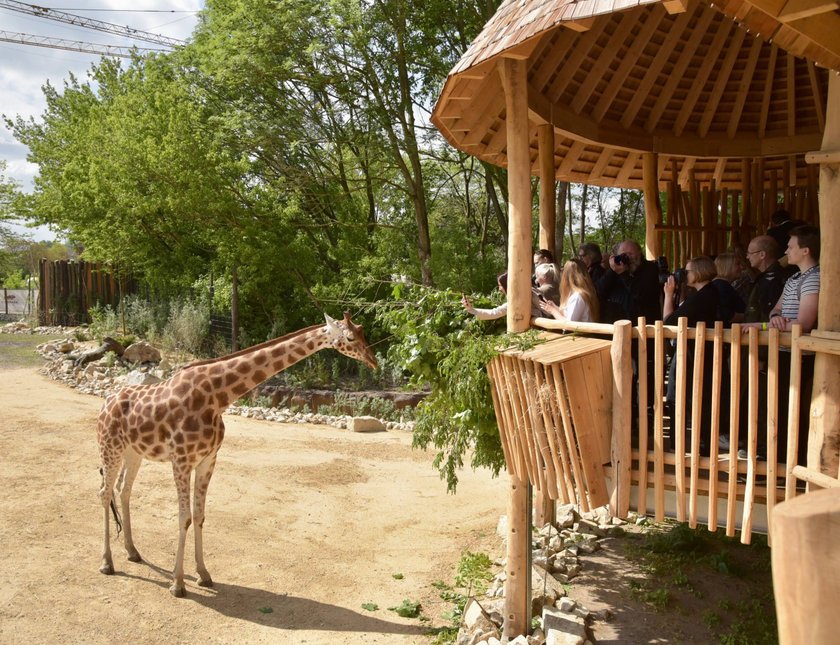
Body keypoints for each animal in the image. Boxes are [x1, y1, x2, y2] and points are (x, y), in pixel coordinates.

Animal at [95, 310, 378, 596]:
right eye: (350, 337)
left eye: (363, 332)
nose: (373, 361)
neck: (216, 397)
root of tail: (106, 403)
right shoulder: (182, 460)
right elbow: (184, 517)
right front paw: (177, 584)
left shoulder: (208, 460)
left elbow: (199, 515)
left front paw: (203, 575)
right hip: (109, 447)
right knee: (105, 492)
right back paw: (107, 562)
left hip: (133, 452)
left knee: (123, 491)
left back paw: (132, 552)